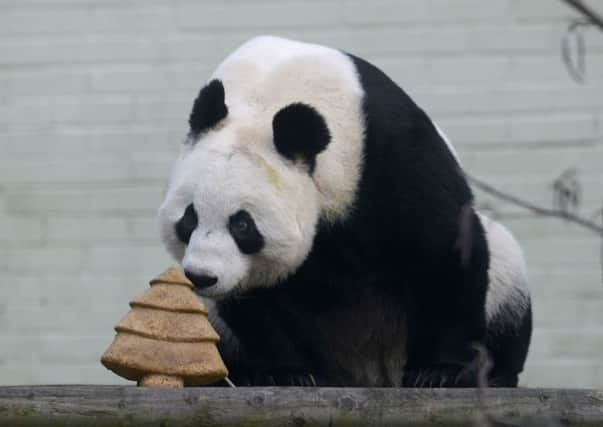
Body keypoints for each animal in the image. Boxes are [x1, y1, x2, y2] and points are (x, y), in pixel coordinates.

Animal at [160, 34, 532, 388]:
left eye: (242, 225)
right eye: (189, 219)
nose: (202, 276)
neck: (267, 98)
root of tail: (372, 373)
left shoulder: (387, 150)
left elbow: (443, 247)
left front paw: (438, 371)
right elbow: (256, 301)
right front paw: (286, 373)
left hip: (498, 286)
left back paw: (494, 374)